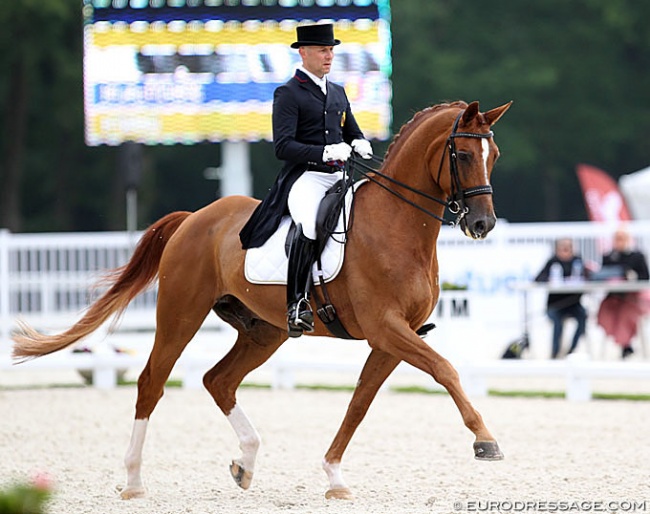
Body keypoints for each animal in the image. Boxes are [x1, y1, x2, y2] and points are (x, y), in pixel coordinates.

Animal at [12, 98, 512, 498]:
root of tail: (195, 218)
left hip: (264, 331)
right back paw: (134, 482)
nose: (482, 225)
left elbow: (359, 402)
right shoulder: (386, 327)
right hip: (180, 316)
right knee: (151, 382)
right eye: (462, 154)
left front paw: (334, 477)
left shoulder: (393, 337)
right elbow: (445, 370)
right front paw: (485, 440)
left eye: (495, 156)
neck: (397, 227)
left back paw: (245, 463)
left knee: (219, 380)